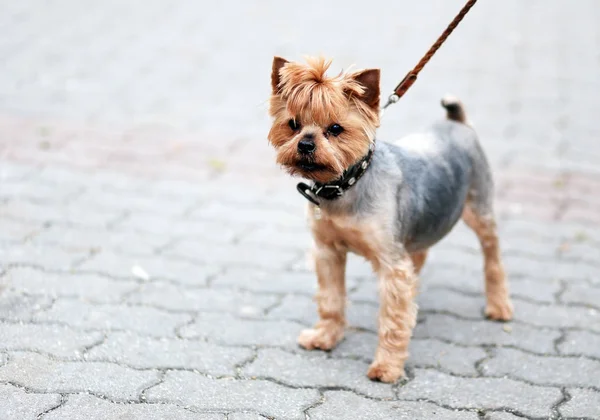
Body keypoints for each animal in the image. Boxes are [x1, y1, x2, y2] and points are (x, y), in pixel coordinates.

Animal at [266, 56, 510, 384]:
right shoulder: (328, 252)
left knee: (492, 256)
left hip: (479, 206)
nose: (304, 144)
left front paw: (387, 367)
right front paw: (325, 336)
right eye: (293, 124)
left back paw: (498, 305)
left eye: (335, 128)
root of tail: (455, 122)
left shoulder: (391, 264)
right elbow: (331, 299)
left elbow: (392, 318)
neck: (345, 186)